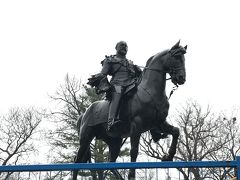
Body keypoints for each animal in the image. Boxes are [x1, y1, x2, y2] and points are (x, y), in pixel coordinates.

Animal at [73, 41, 188, 180]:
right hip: (86, 139)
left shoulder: (160, 123)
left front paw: (168, 156)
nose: (181, 78)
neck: (150, 91)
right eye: (176, 57)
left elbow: (176, 131)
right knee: (77, 161)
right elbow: (134, 151)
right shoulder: (136, 126)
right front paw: (131, 175)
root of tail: (84, 114)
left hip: (115, 141)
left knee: (111, 163)